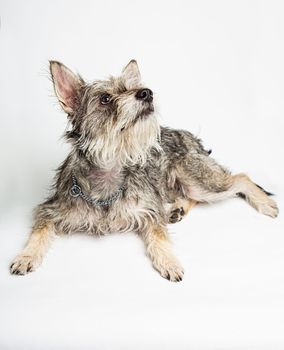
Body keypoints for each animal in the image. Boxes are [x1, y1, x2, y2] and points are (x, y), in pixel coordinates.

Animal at [10, 58, 278, 280]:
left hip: (199, 181)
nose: (146, 93)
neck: (110, 168)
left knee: (241, 177)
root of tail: (191, 137)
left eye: (133, 87)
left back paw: (265, 203)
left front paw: (169, 261)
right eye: (105, 98)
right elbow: (39, 231)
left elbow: (159, 236)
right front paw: (26, 256)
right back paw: (178, 209)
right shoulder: (50, 210)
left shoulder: (150, 211)